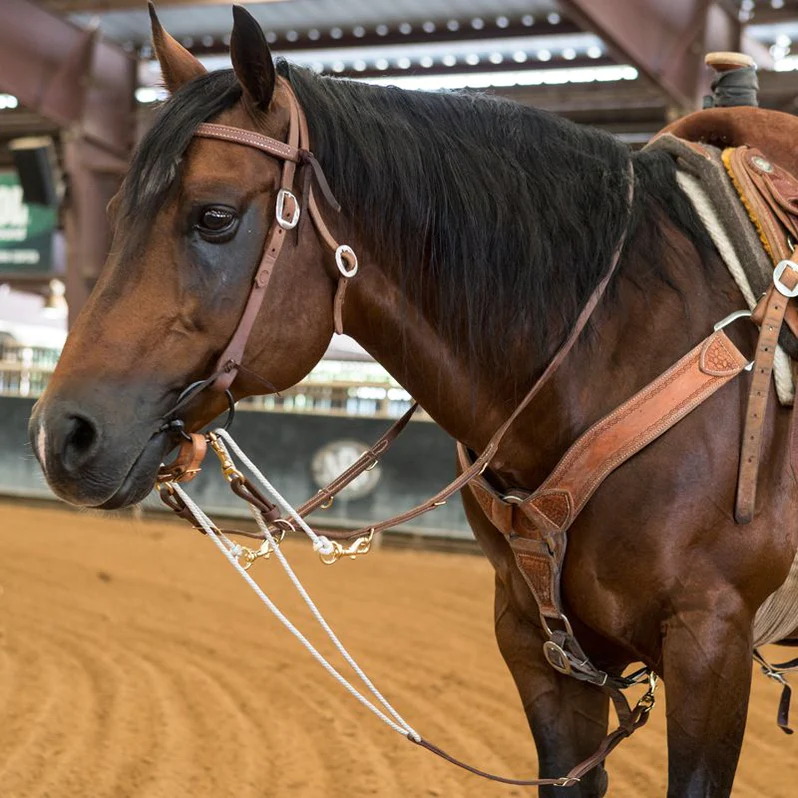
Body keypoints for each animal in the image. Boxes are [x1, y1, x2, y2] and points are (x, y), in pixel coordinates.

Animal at [28, 4, 798, 792]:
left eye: (213, 216)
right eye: (116, 210)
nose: (62, 434)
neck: (617, 346)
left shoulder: (710, 643)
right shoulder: (538, 649)